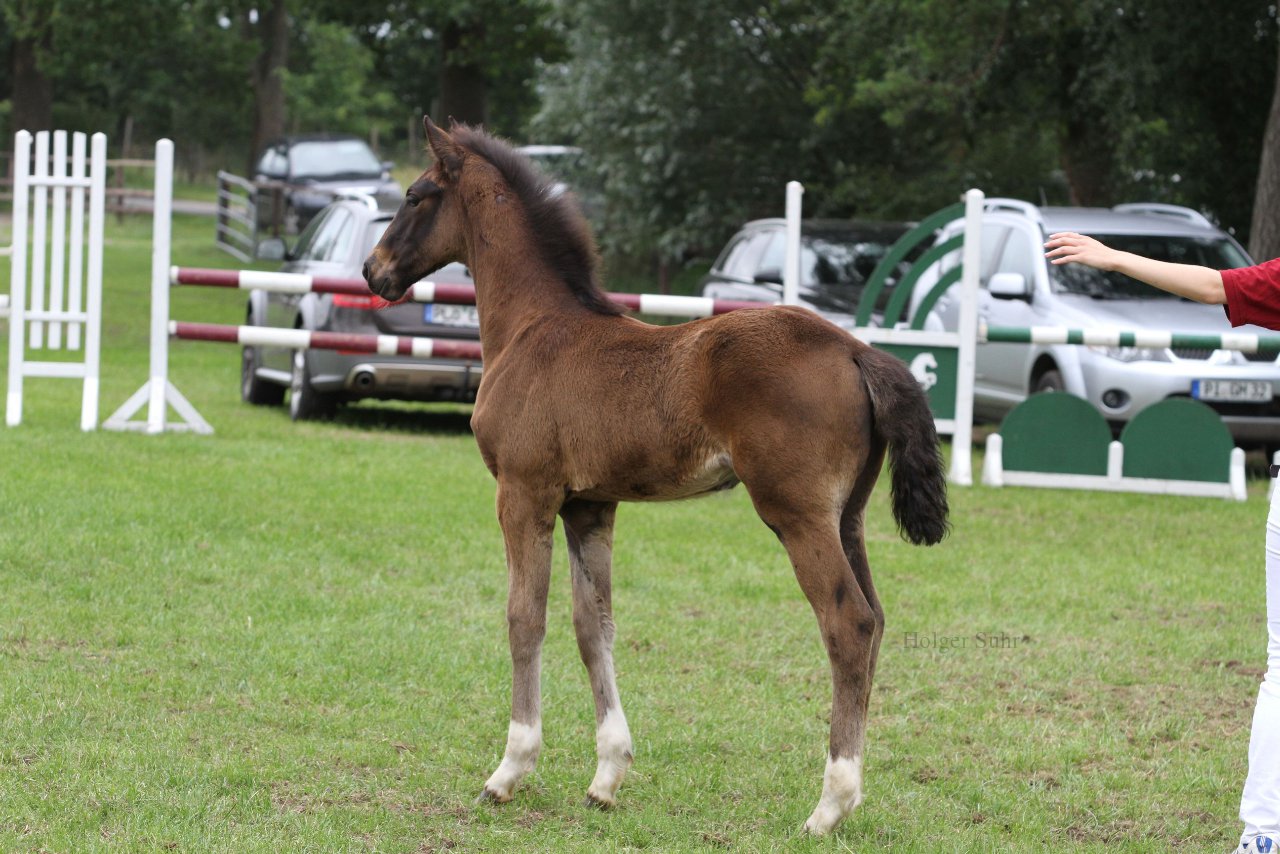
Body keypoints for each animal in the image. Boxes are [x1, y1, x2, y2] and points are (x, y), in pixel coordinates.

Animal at [366, 117, 947, 839]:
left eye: (415, 195)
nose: (373, 270)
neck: (534, 328)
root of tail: (855, 348)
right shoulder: (589, 504)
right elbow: (594, 625)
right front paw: (606, 777)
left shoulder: (524, 494)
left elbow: (524, 617)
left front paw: (509, 771)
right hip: (849, 517)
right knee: (877, 620)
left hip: (798, 514)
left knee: (849, 625)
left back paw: (828, 805)